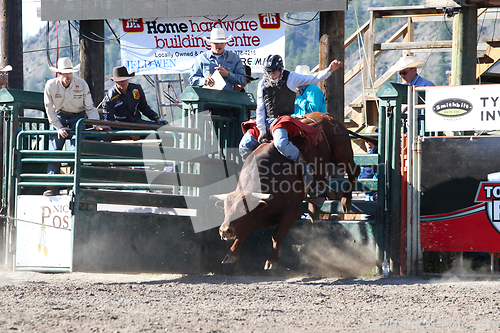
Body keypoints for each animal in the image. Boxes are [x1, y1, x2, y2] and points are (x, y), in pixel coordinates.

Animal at [211, 112, 360, 270]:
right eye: (225, 209)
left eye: (243, 209)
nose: (224, 230)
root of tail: (327, 116)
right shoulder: (252, 218)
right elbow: (243, 232)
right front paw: (231, 254)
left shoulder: (292, 210)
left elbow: (277, 235)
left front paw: (272, 261)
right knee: (321, 182)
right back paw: (314, 206)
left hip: (341, 154)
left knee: (354, 170)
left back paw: (345, 201)